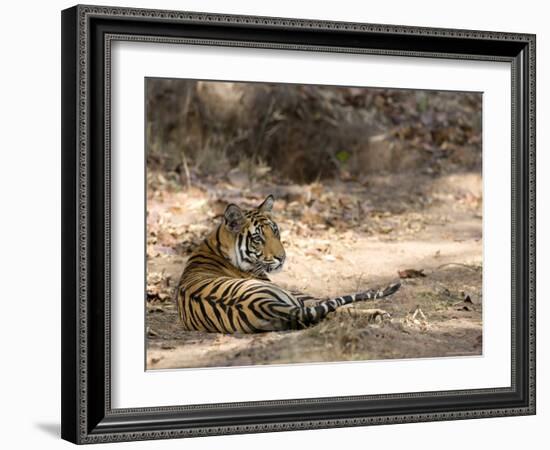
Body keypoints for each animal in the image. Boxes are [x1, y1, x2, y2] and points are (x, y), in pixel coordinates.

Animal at [176, 195, 402, 332]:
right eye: (258, 238)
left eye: (275, 231)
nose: (282, 257)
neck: (216, 244)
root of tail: (265, 305)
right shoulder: (301, 295)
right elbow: (334, 302)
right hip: (294, 299)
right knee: (334, 309)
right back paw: (379, 315)